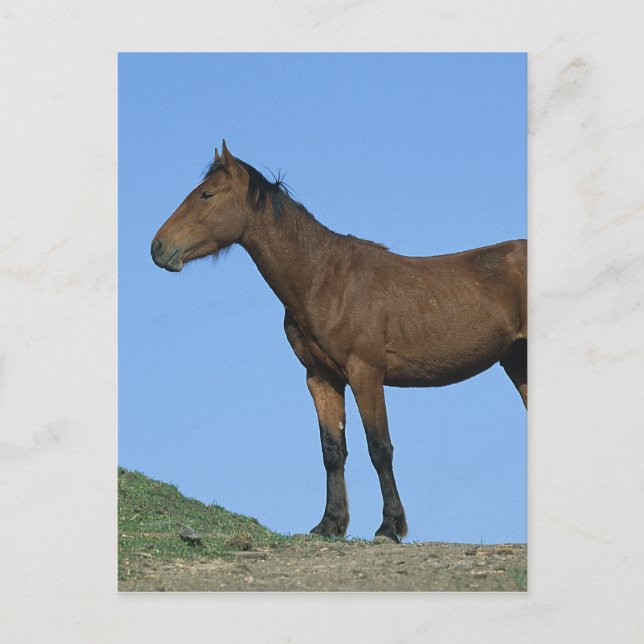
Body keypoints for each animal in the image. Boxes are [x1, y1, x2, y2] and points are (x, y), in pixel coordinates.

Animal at [151, 140, 527, 543]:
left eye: (206, 194)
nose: (158, 247)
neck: (323, 278)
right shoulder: (322, 378)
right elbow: (332, 451)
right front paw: (330, 523)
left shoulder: (366, 374)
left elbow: (379, 448)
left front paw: (389, 526)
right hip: (517, 363)